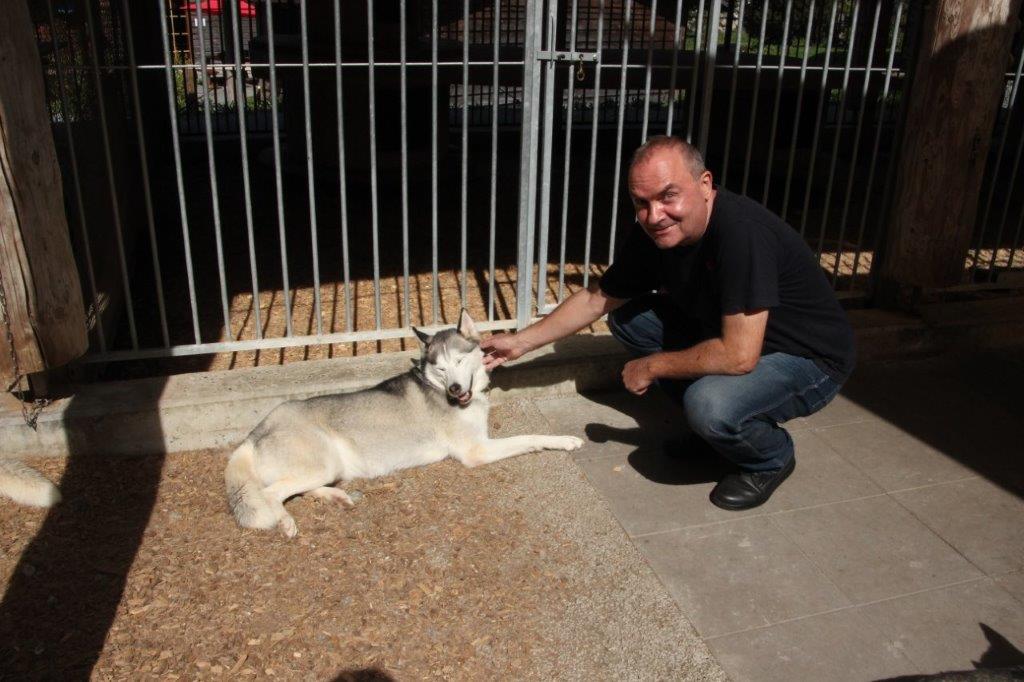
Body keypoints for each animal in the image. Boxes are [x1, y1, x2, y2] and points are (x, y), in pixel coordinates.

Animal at [224, 310, 583, 537]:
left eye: (458, 360)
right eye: (440, 368)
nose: (455, 388)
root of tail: (256, 432)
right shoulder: (476, 452)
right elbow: (530, 436)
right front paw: (564, 440)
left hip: (329, 467)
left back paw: (335, 497)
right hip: (319, 462)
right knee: (270, 495)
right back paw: (285, 522)